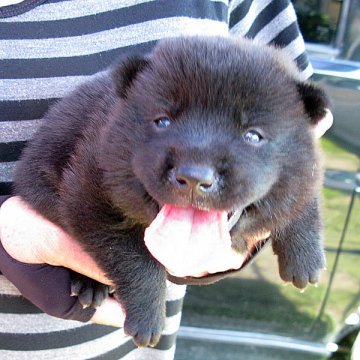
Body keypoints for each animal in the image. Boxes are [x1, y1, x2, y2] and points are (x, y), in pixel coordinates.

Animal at [15, 35, 328, 346]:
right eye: (162, 121)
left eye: (253, 136)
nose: (193, 177)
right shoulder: (88, 192)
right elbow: (134, 259)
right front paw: (148, 317)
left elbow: (304, 187)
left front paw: (305, 254)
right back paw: (90, 286)